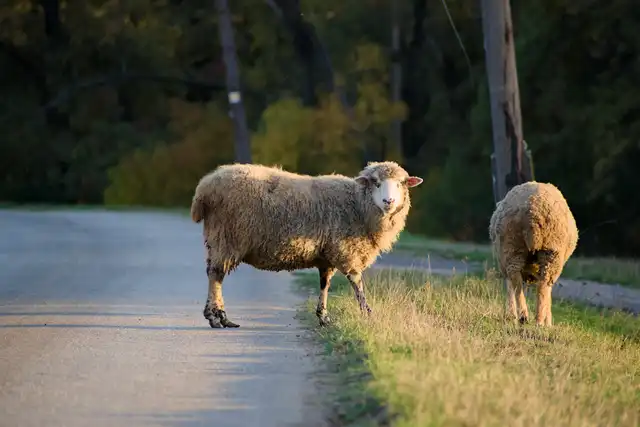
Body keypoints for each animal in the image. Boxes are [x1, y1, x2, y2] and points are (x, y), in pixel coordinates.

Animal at [189, 162, 424, 330]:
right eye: (376, 182)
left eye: (401, 183)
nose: (388, 202)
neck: (358, 206)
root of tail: (205, 187)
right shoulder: (346, 250)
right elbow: (357, 284)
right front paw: (367, 313)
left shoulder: (327, 255)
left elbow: (324, 284)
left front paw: (324, 316)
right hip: (228, 236)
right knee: (216, 274)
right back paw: (219, 317)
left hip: (216, 238)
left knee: (212, 271)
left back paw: (214, 315)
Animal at [490, 181, 580, 328]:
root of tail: (534, 212)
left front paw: (511, 315)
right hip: (548, 252)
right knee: (538, 285)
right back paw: (536, 320)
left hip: (515, 248)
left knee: (519, 280)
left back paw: (526, 317)